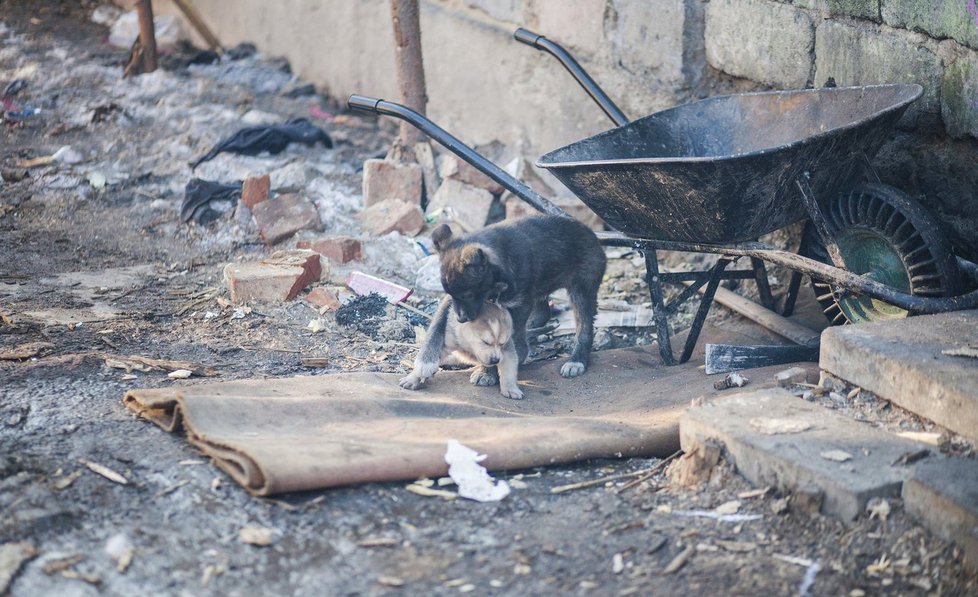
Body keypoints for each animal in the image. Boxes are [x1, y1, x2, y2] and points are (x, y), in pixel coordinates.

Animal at [396, 298, 524, 400]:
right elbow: (431, 355)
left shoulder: (507, 350)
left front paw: (511, 388)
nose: (495, 360)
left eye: (502, 344)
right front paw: (412, 379)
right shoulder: (447, 342)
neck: (468, 345)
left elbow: (509, 369)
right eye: (485, 342)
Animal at [420, 214, 604, 382]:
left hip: (582, 287)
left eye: (468, 295)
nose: (460, 319)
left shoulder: (518, 304)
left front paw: (491, 371)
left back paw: (577, 360)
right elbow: (437, 324)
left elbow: (506, 342)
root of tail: (591, 233)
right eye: (453, 295)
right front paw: (425, 362)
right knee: (543, 310)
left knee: (584, 327)